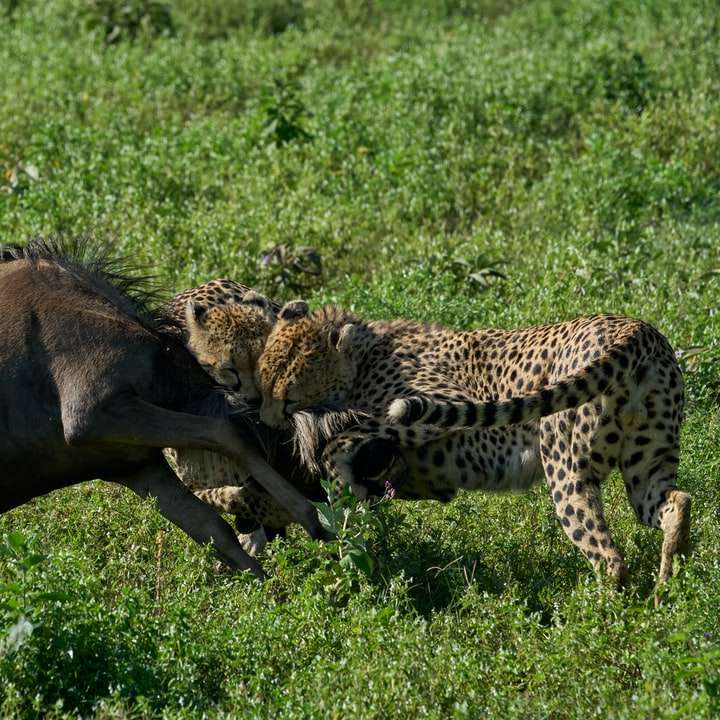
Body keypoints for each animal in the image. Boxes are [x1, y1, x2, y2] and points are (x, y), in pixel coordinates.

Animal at [256, 304, 688, 592]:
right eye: (263, 382)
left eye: (289, 396)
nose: (263, 420)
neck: (364, 353)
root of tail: (632, 327)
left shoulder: (438, 403)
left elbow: (346, 436)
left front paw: (340, 480)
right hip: (647, 465)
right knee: (676, 502)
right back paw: (668, 588)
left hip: (568, 472)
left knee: (609, 558)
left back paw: (596, 618)